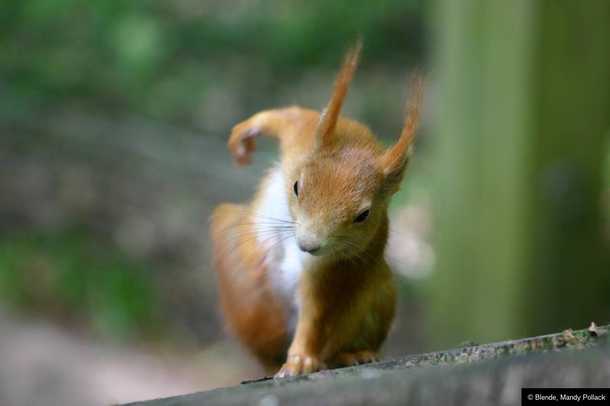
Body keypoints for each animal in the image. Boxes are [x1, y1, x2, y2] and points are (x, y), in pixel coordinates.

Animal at [209, 41, 422, 378]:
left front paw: (299, 359)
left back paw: (351, 355)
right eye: (297, 186)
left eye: (363, 216)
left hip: (382, 294)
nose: (309, 245)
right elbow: (291, 117)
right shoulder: (307, 136)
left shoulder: (334, 271)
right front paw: (245, 133)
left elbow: (316, 316)